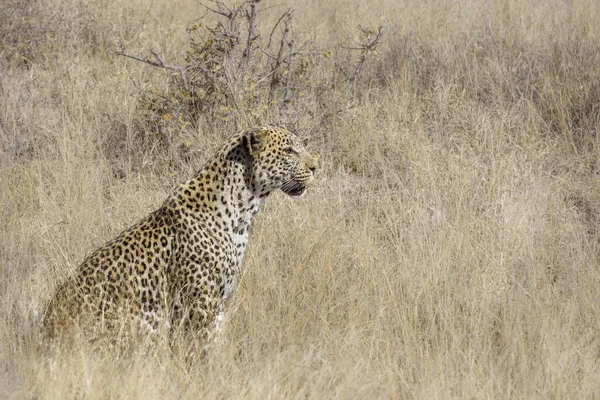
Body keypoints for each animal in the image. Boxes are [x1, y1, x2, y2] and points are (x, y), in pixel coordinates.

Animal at [44, 124, 318, 340]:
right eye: (289, 150)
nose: (316, 166)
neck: (244, 209)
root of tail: (46, 327)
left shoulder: (218, 299)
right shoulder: (201, 301)